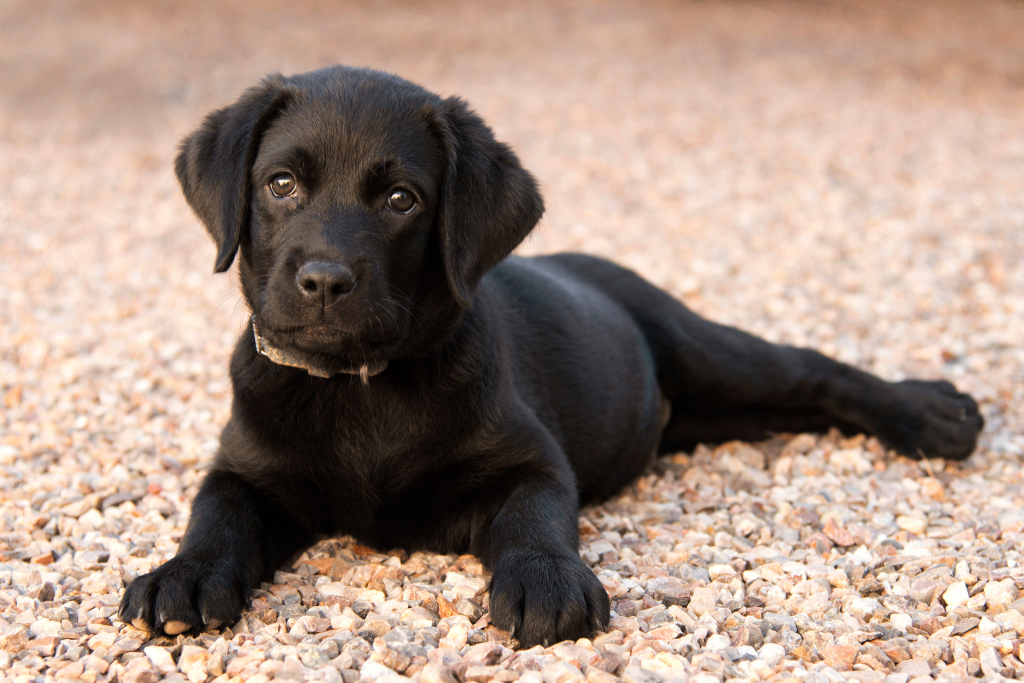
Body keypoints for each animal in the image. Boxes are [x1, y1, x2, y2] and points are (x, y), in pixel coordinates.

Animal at [119, 66, 983, 651]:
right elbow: (216, 514)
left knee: (810, 370)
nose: (325, 280)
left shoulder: (531, 458)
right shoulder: (245, 468)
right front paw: (185, 574)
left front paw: (545, 580)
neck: (361, 388)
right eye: (281, 184)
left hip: (703, 349)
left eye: (401, 199)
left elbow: (533, 517)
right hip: (715, 412)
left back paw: (933, 411)